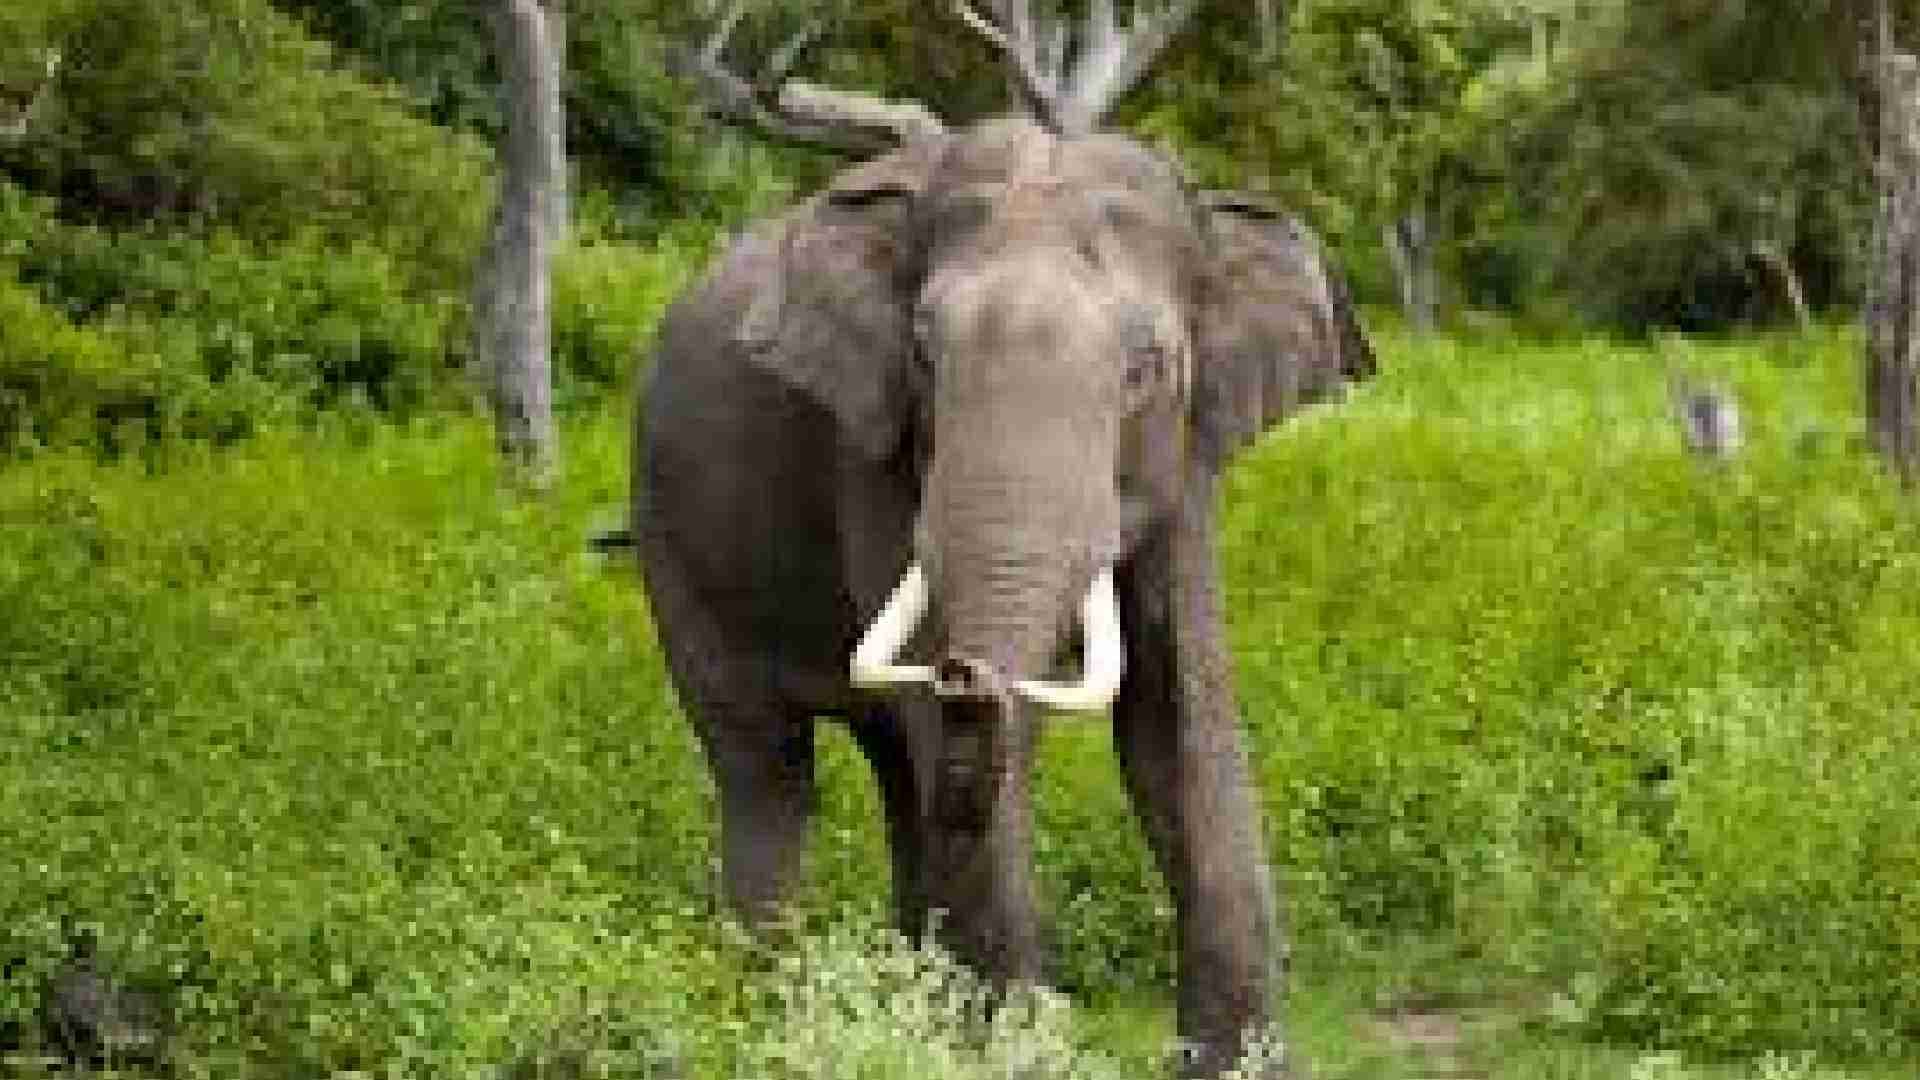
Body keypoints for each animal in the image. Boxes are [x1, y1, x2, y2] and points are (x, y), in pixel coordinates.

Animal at [632, 8, 1375, 1078]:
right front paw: (1011, 1051)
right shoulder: (876, 449)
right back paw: (761, 1014)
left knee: (896, 774)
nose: (965, 670)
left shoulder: (1188, 461)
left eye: (1146, 370)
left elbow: (1179, 722)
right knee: (766, 765)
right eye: (924, 353)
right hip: (673, 543)